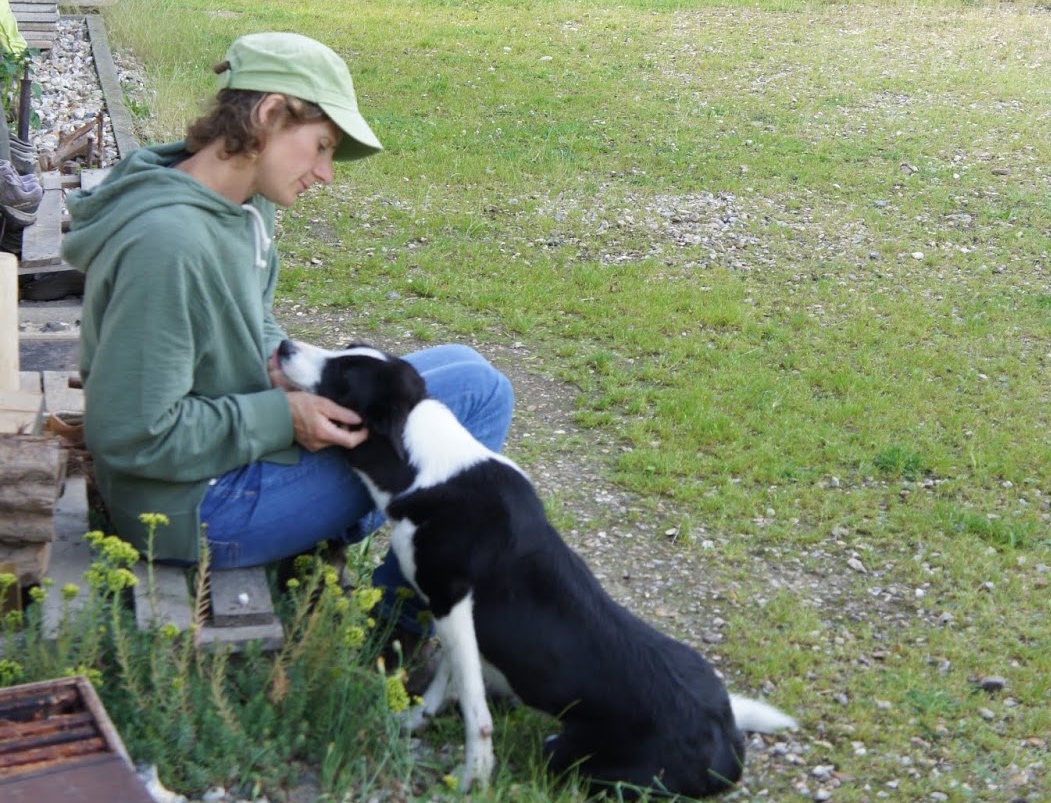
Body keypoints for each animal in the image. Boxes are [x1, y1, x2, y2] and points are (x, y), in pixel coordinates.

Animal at [276, 339, 797, 797]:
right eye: (346, 348)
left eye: (344, 378)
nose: (282, 346)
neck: (426, 466)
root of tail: (728, 743)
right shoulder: (455, 616)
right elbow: (451, 679)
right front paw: (415, 722)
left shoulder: (450, 601)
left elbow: (473, 709)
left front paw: (471, 778)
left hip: (567, 754)